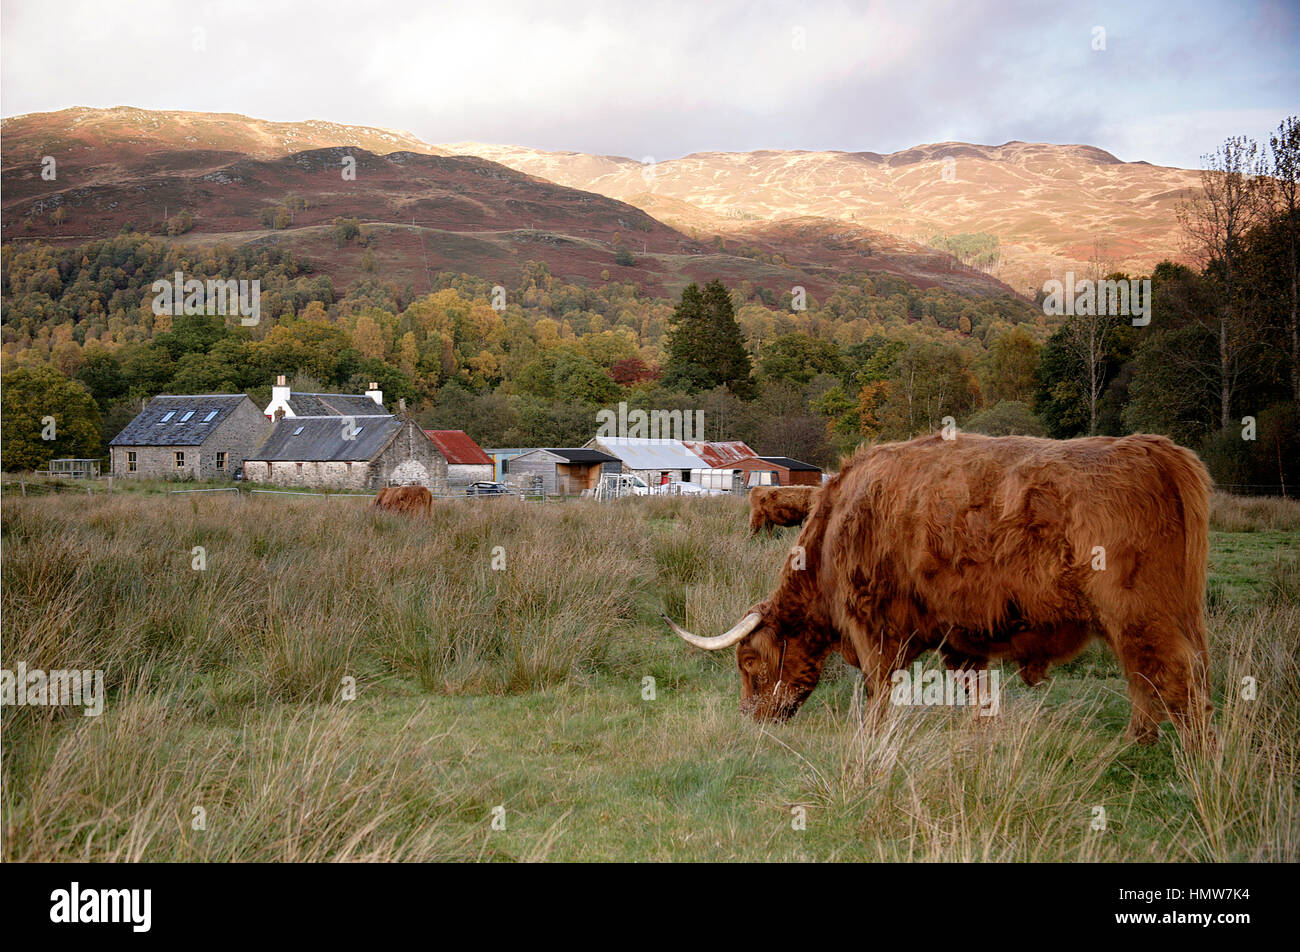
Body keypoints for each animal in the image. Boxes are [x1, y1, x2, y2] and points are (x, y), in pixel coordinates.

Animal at [665, 433, 1215, 752]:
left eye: (749, 663)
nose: (750, 719)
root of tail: (1159, 450)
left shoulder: (872, 624)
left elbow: (879, 689)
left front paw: (871, 738)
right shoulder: (963, 638)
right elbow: (978, 692)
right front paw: (981, 738)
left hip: (1138, 613)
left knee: (1171, 678)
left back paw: (1191, 758)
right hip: (1161, 617)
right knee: (1151, 676)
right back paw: (1136, 745)